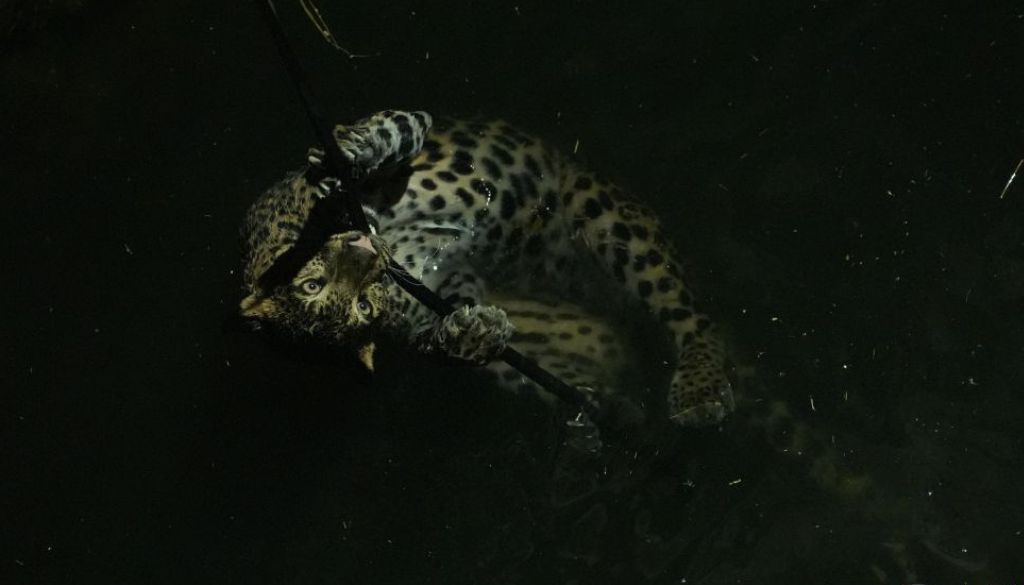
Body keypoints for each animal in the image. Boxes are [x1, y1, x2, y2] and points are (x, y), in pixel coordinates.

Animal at [239, 109, 734, 428]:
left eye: (312, 284)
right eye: (362, 309)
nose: (367, 255)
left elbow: (397, 127)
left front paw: (357, 147)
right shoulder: (441, 279)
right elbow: (445, 318)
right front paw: (468, 335)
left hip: (604, 213)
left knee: (688, 314)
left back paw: (700, 393)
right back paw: (605, 416)